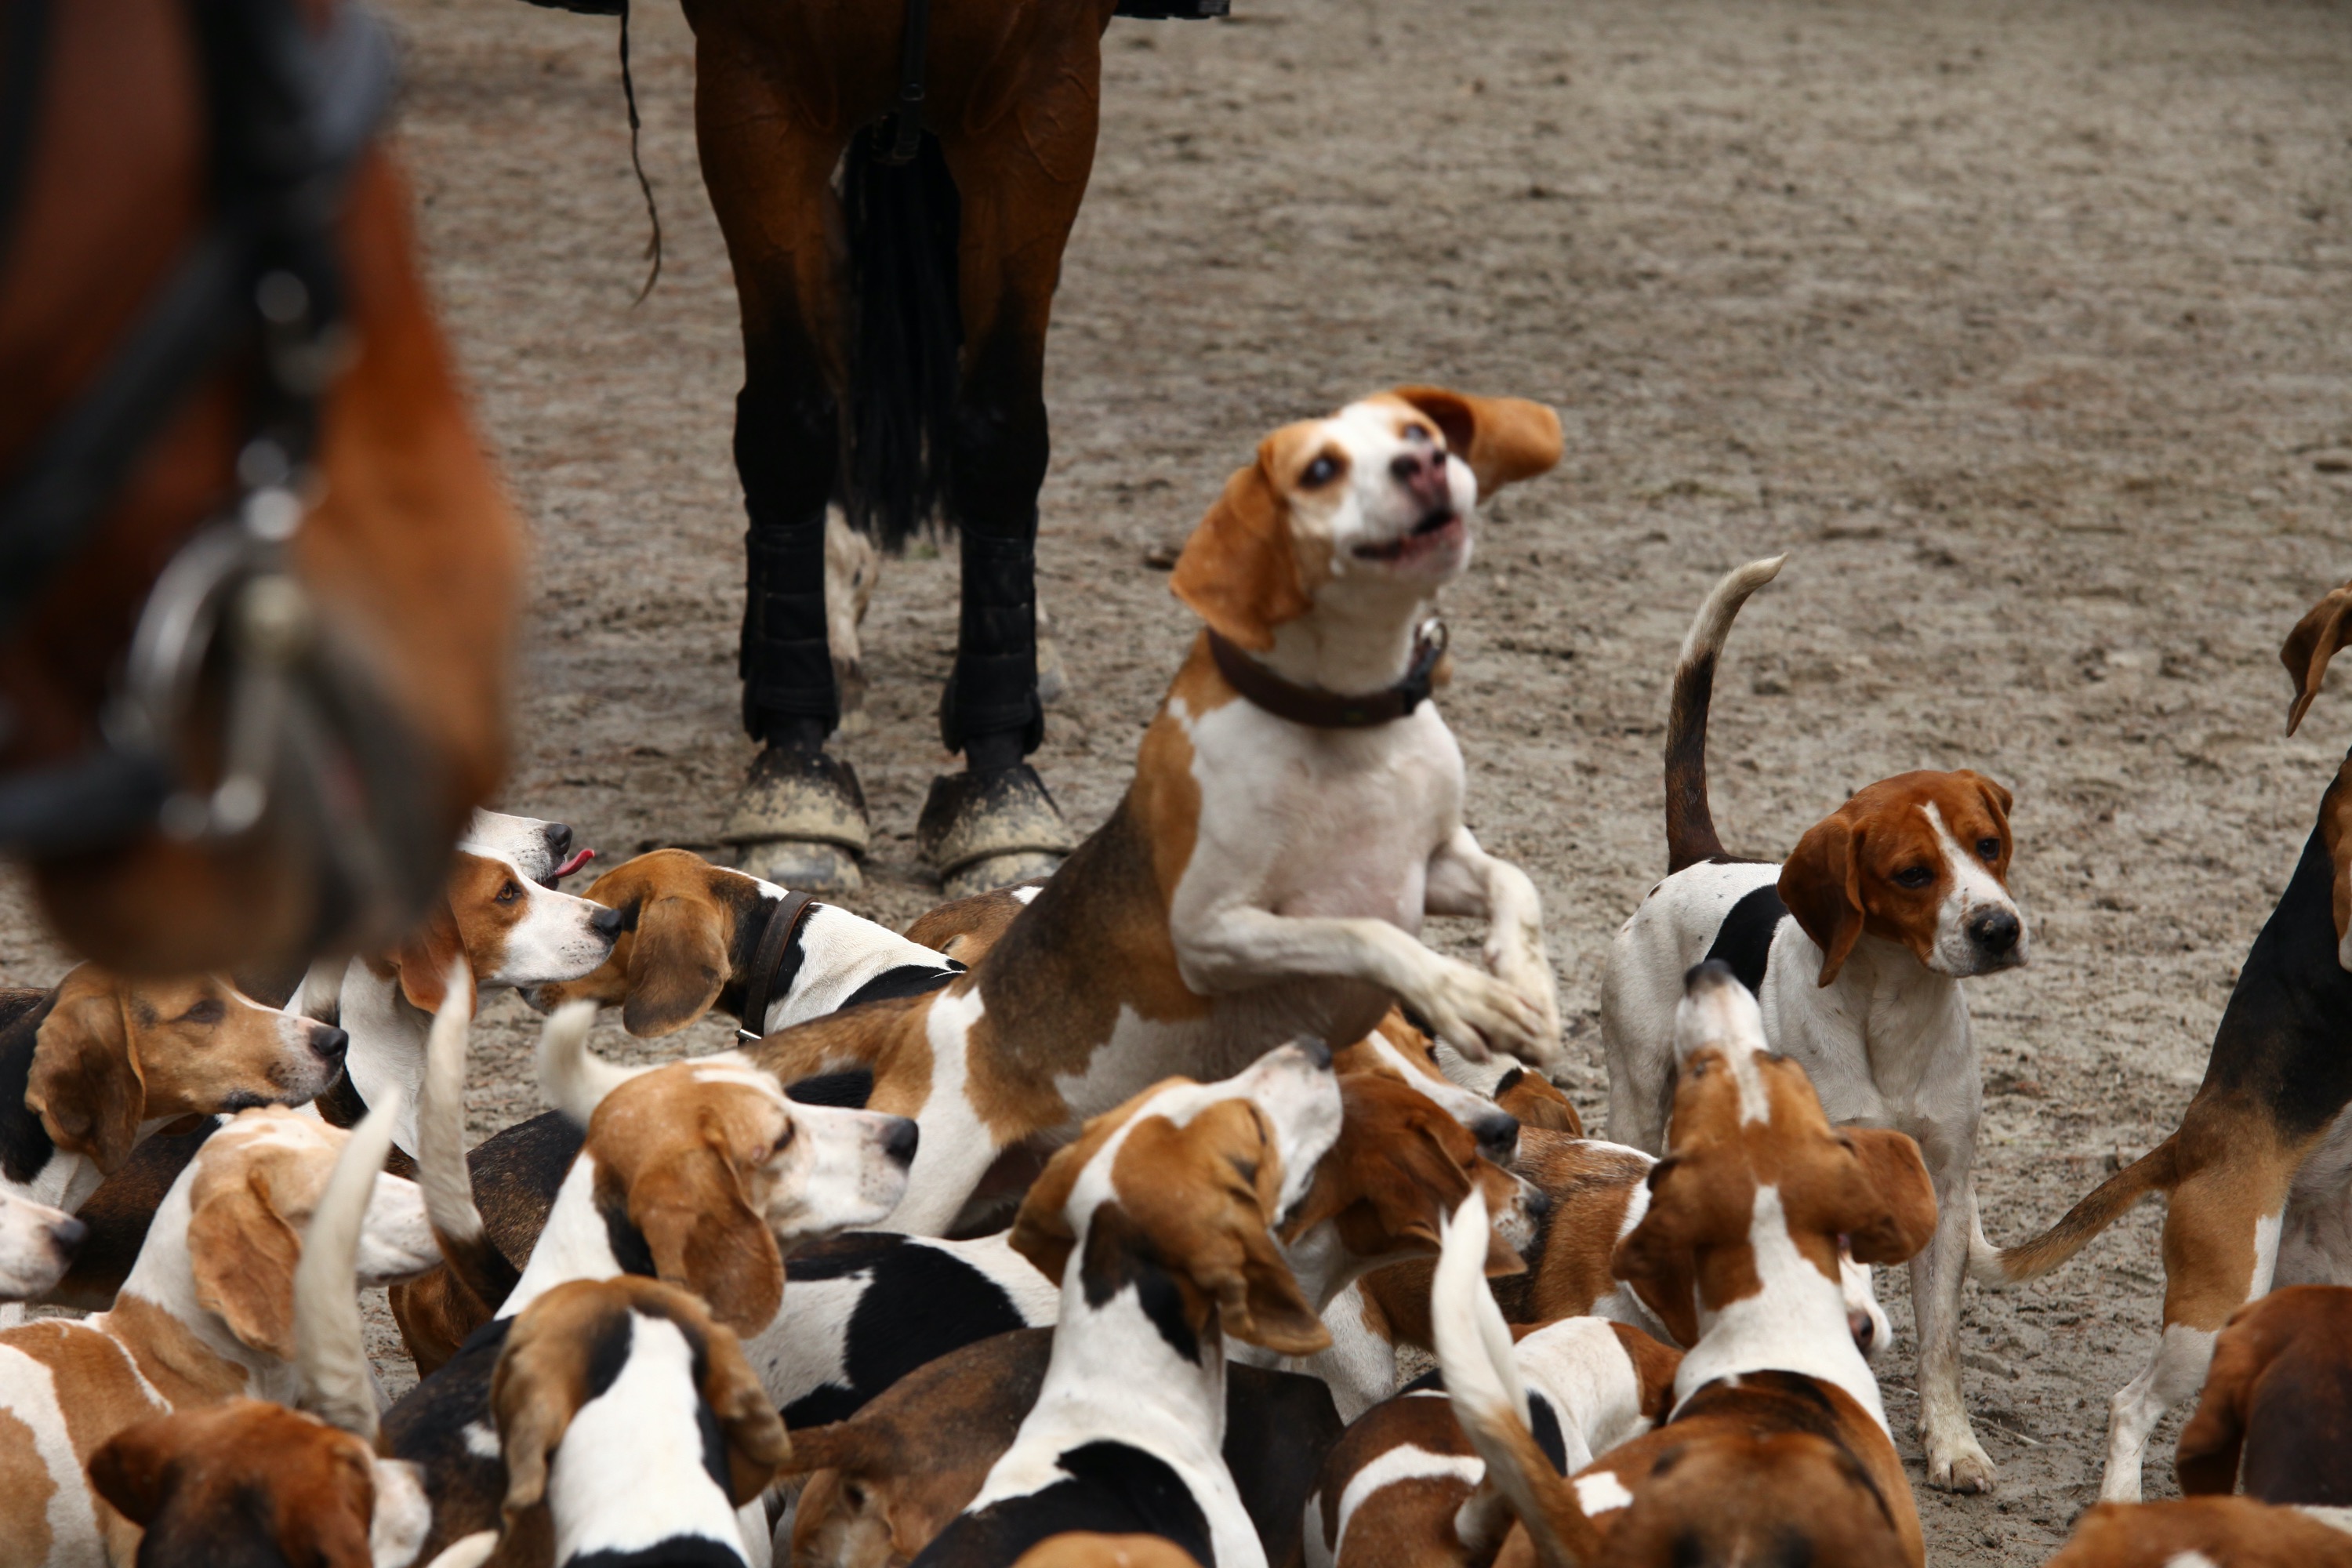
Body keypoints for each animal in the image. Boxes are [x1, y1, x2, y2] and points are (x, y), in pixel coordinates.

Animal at [737, 388, 1567, 1237]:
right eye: (1321, 469)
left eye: (1419, 432)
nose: (1428, 464)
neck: (1347, 727)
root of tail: (934, 1001)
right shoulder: (1219, 926)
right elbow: (1361, 932)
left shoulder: (1429, 864)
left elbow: (1510, 885)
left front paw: (1520, 980)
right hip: (922, 1188)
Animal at [1601, 556, 2026, 1494]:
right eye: (1912, 873)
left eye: (1989, 844)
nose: (1999, 927)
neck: (1894, 1010)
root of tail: (1702, 858)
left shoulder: (1945, 1187)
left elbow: (1942, 1344)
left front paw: (1953, 1444)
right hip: (1637, 1095)